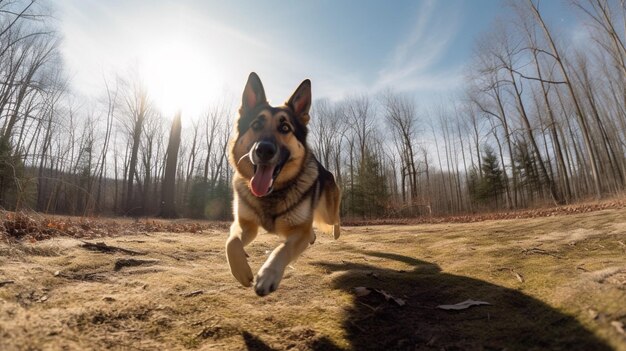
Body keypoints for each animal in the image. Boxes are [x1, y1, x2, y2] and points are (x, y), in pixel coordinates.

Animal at [225, 72, 338, 296]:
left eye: (285, 128)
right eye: (256, 125)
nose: (264, 150)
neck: (271, 194)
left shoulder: (298, 233)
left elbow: (283, 249)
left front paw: (267, 275)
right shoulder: (246, 225)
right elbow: (231, 243)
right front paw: (241, 271)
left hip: (327, 213)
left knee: (335, 217)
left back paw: (336, 231)